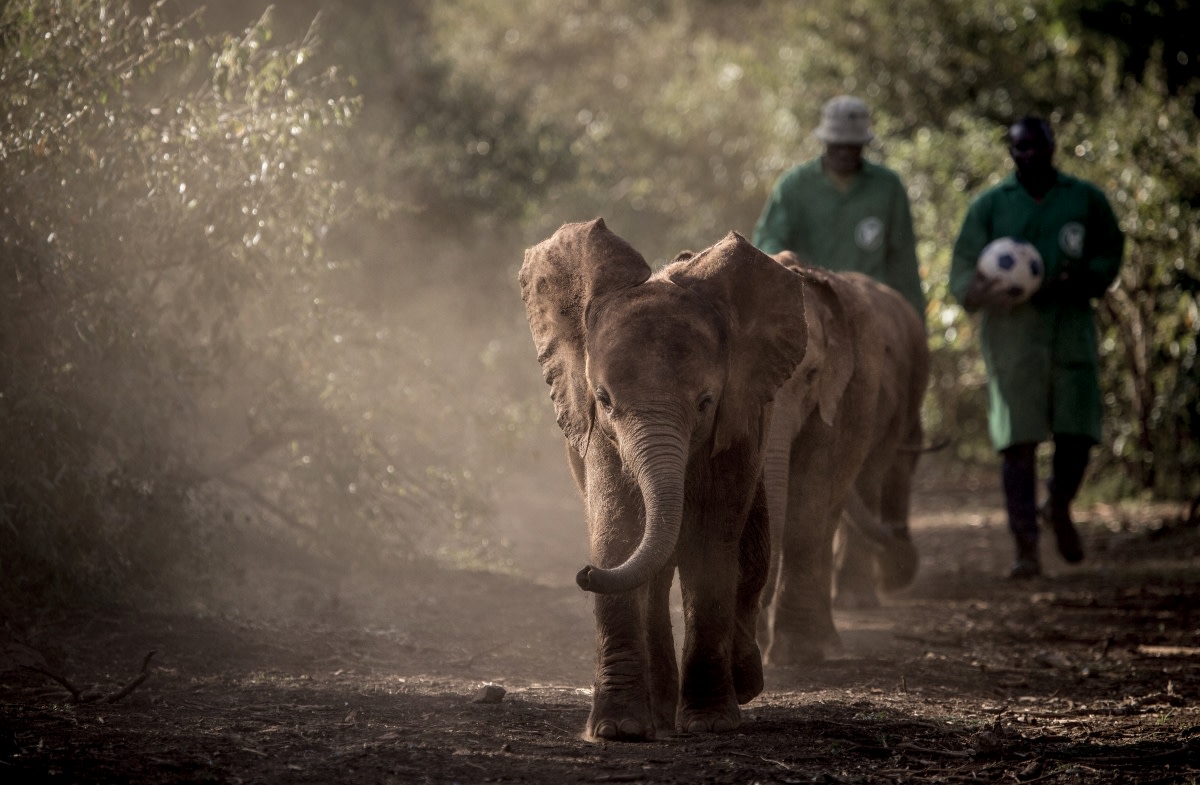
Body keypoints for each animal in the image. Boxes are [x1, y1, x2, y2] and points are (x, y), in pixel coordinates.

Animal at [516, 218, 806, 739]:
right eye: (604, 400)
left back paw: (736, 687)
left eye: (705, 402)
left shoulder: (739, 423)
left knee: (750, 551)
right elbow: (618, 533)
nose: (583, 574)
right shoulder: (598, 433)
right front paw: (617, 730)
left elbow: (712, 548)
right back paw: (658, 713)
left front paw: (711, 723)